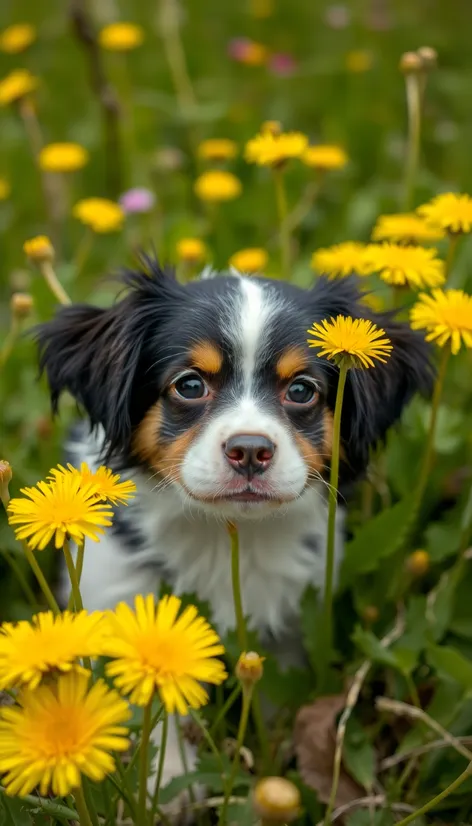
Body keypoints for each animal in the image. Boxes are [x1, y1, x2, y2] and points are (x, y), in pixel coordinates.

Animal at [35, 264, 434, 804]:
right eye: (189, 385)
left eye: (302, 390)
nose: (249, 450)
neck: (226, 533)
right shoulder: (120, 594)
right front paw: (169, 785)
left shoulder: (290, 619)